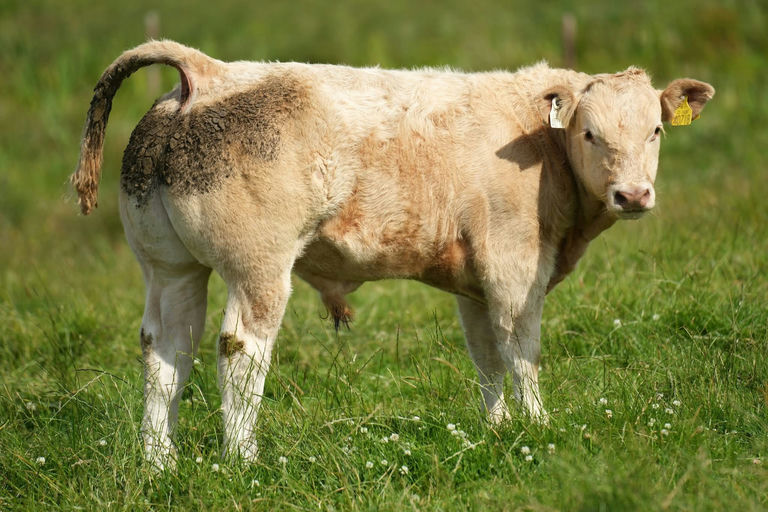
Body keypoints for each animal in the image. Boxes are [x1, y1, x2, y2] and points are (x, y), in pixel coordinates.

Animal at [71, 40, 714, 468]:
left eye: (655, 130)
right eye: (589, 134)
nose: (633, 195)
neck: (535, 139)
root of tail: (209, 73)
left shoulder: (474, 280)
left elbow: (487, 356)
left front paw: (499, 430)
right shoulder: (514, 264)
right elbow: (521, 349)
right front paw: (539, 426)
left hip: (169, 268)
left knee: (166, 353)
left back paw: (160, 463)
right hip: (258, 268)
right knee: (241, 350)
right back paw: (244, 462)